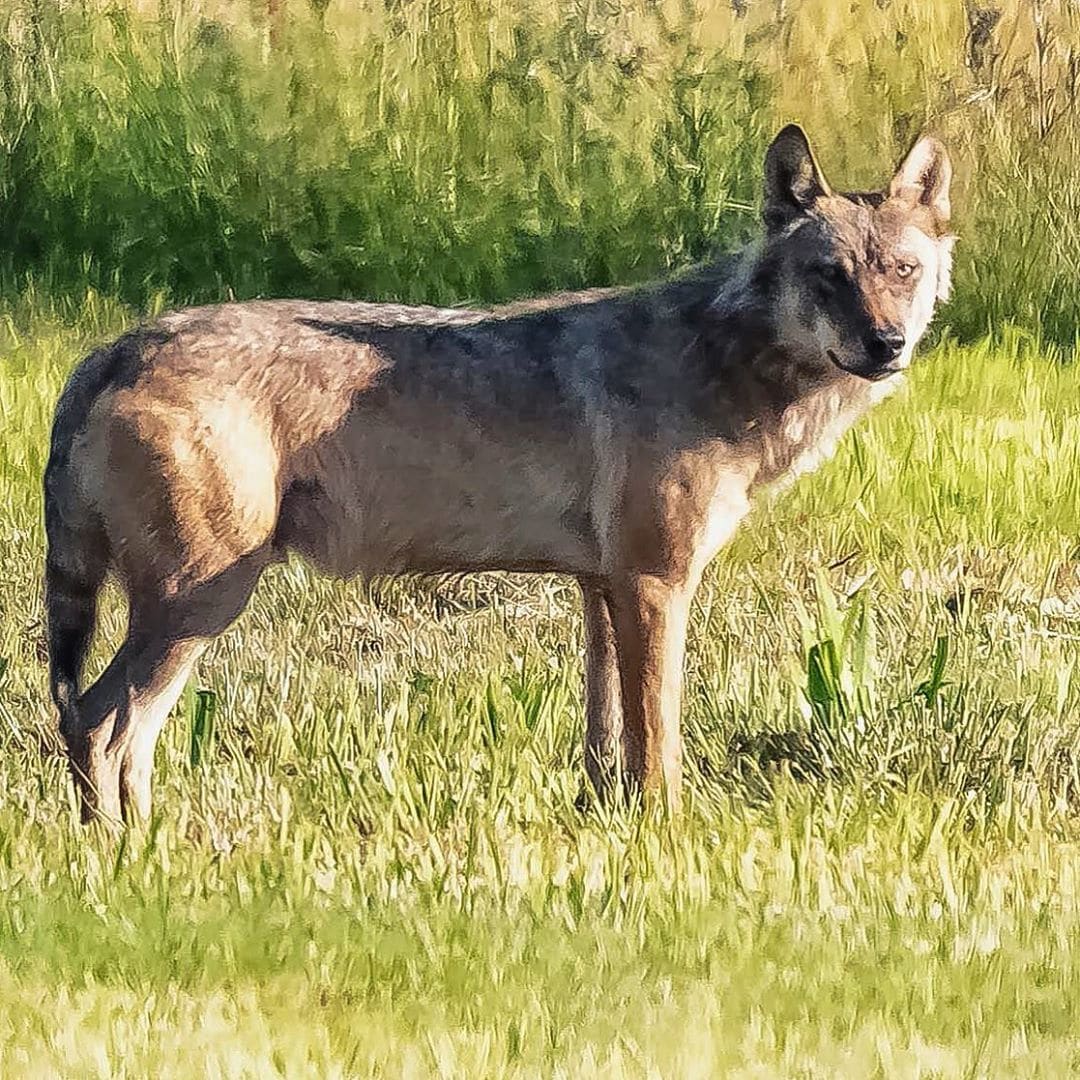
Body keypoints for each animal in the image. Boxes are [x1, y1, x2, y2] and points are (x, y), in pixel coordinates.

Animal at [44, 125, 954, 823]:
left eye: (901, 273)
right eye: (830, 276)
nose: (886, 345)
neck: (724, 358)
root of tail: (112, 350)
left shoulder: (603, 589)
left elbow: (608, 740)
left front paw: (606, 824)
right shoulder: (656, 584)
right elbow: (657, 740)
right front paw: (669, 832)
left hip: (193, 608)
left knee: (107, 732)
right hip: (204, 603)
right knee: (102, 726)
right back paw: (131, 860)